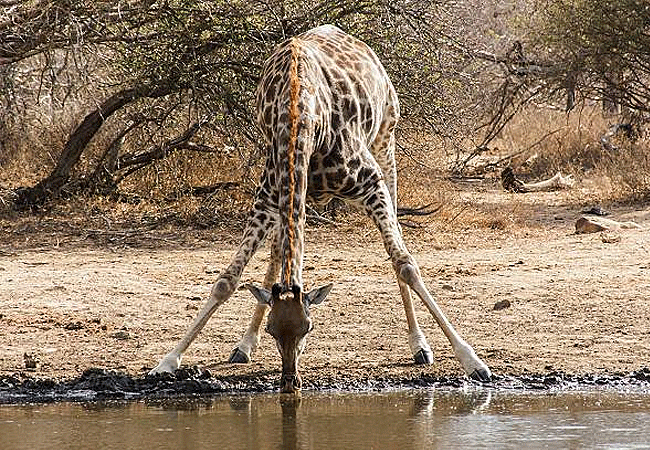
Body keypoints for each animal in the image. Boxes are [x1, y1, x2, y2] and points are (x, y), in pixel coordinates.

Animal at [150, 25, 491, 392]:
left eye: (308, 328)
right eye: (273, 329)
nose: (289, 381)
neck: (299, 117)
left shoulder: (370, 183)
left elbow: (405, 264)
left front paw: (472, 361)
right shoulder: (269, 195)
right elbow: (228, 280)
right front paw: (167, 361)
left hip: (385, 142)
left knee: (397, 237)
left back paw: (419, 345)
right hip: (295, 197)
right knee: (277, 254)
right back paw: (244, 345)